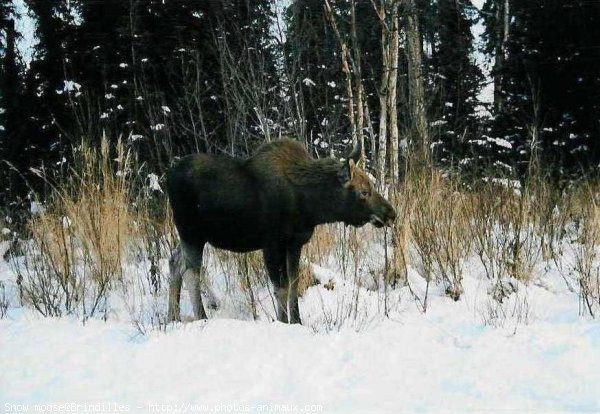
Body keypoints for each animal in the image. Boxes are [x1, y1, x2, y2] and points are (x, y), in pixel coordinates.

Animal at [166, 139, 396, 324]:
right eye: (363, 192)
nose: (391, 213)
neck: (310, 207)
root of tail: (168, 176)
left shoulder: (294, 243)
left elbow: (293, 285)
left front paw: (297, 321)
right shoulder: (271, 244)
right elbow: (281, 288)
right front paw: (283, 321)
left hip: (191, 236)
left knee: (174, 261)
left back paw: (173, 317)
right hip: (191, 233)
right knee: (191, 272)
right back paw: (201, 317)